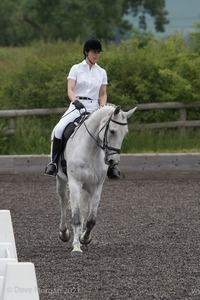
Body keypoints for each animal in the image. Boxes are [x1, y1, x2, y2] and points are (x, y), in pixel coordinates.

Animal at [54, 104, 136, 254]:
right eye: (112, 131)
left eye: (125, 133)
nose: (113, 161)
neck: (91, 150)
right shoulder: (75, 184)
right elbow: (76, 217)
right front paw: (76, 248)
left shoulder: (97, 187)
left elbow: (91, 219)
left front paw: (84, 238)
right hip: (61, 180)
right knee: (62, 201)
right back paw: (64, 233)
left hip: (86, 188)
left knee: (83, 209)